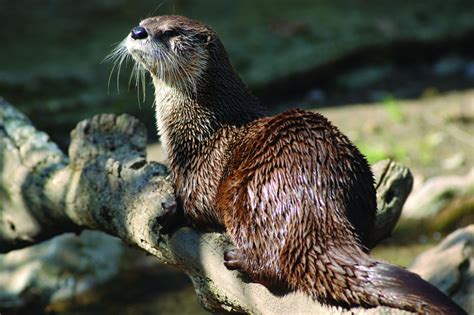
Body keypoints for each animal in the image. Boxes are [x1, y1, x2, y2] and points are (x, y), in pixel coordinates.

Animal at [111, 15, 466, 315]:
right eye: (146, 21)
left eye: (169, 32)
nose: (137, 31)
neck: (203, 125)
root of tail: (316, 195)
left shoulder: (198, 172)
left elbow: (194, 207)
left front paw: (171, 213)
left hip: (247, 198)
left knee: (275, 266)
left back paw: (239, 260)